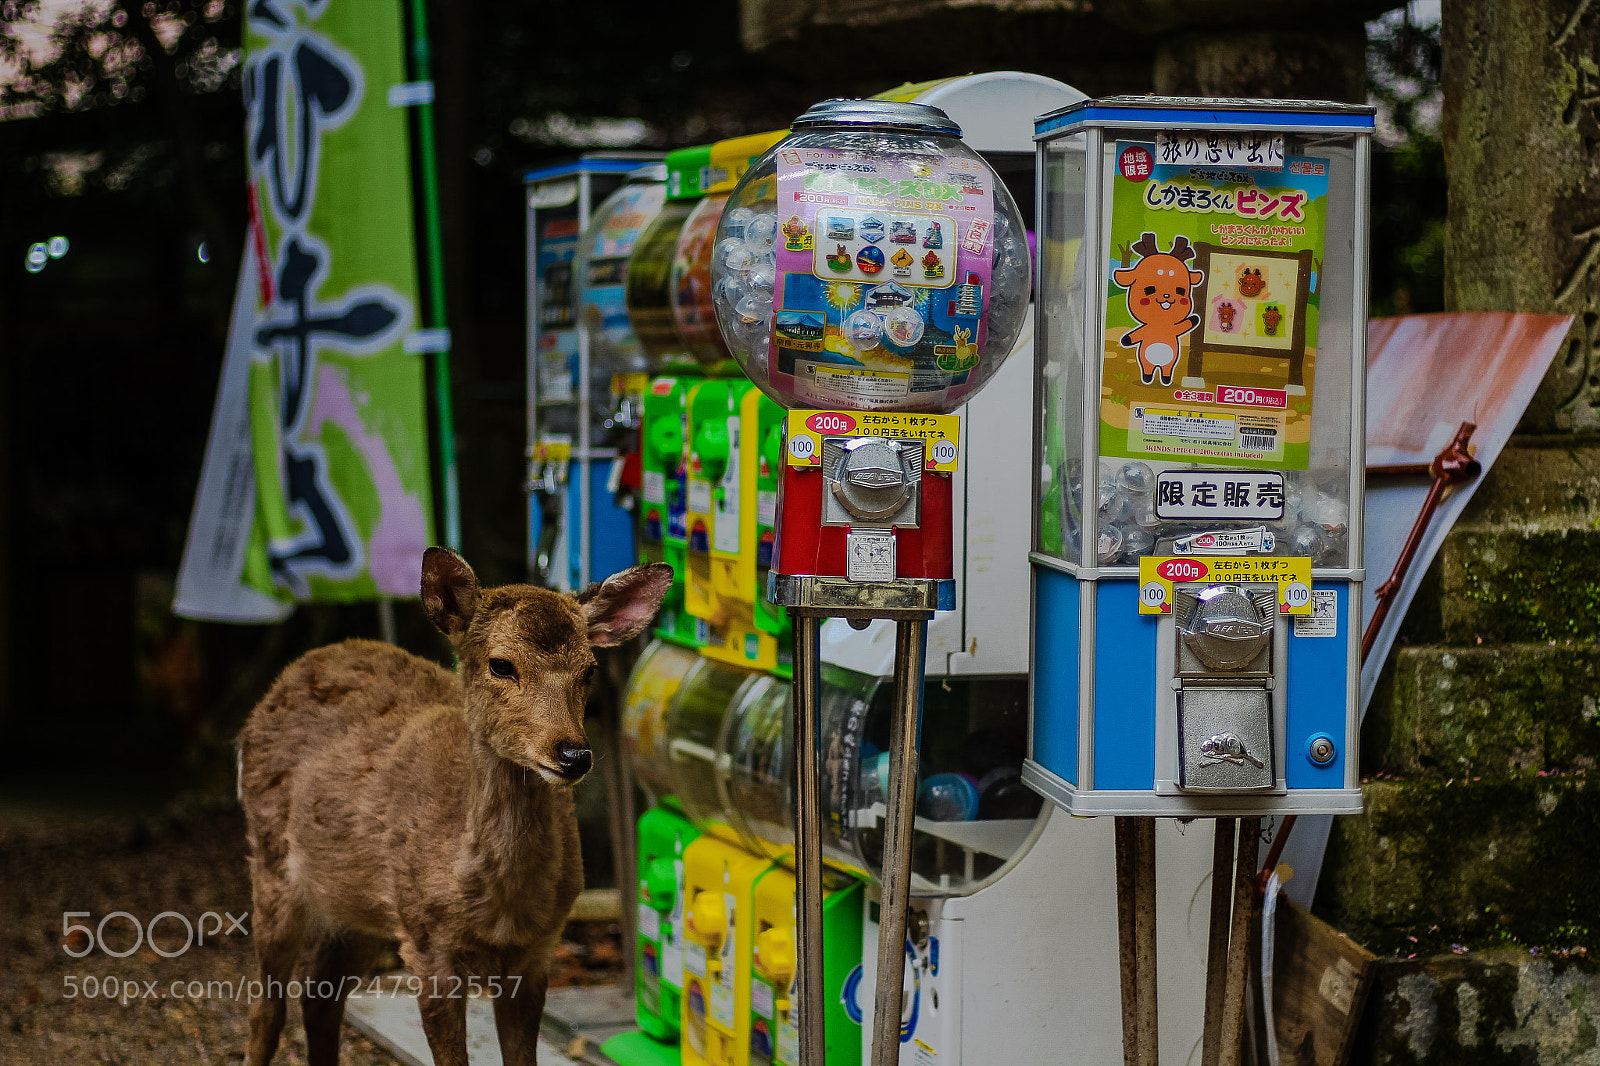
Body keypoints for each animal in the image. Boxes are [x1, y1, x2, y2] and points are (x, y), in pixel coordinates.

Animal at [238, 548, 672, 1066]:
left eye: (588, 669)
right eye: (501, 665)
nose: (573, 755)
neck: (499, 913)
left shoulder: (537, 952)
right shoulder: (427, 946)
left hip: (358, 905)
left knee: (319, 996)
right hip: (270, 860)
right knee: (266, 1007)